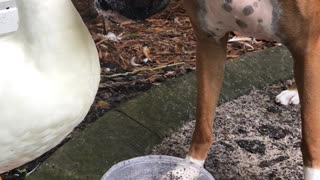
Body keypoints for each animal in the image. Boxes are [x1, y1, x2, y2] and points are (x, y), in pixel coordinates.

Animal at [96, 0, 320, 179]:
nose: (102, 2)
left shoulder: (308, 47)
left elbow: (310, 138)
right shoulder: (210, 42)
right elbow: (203, 121)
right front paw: (188, 169)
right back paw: (294, 90)